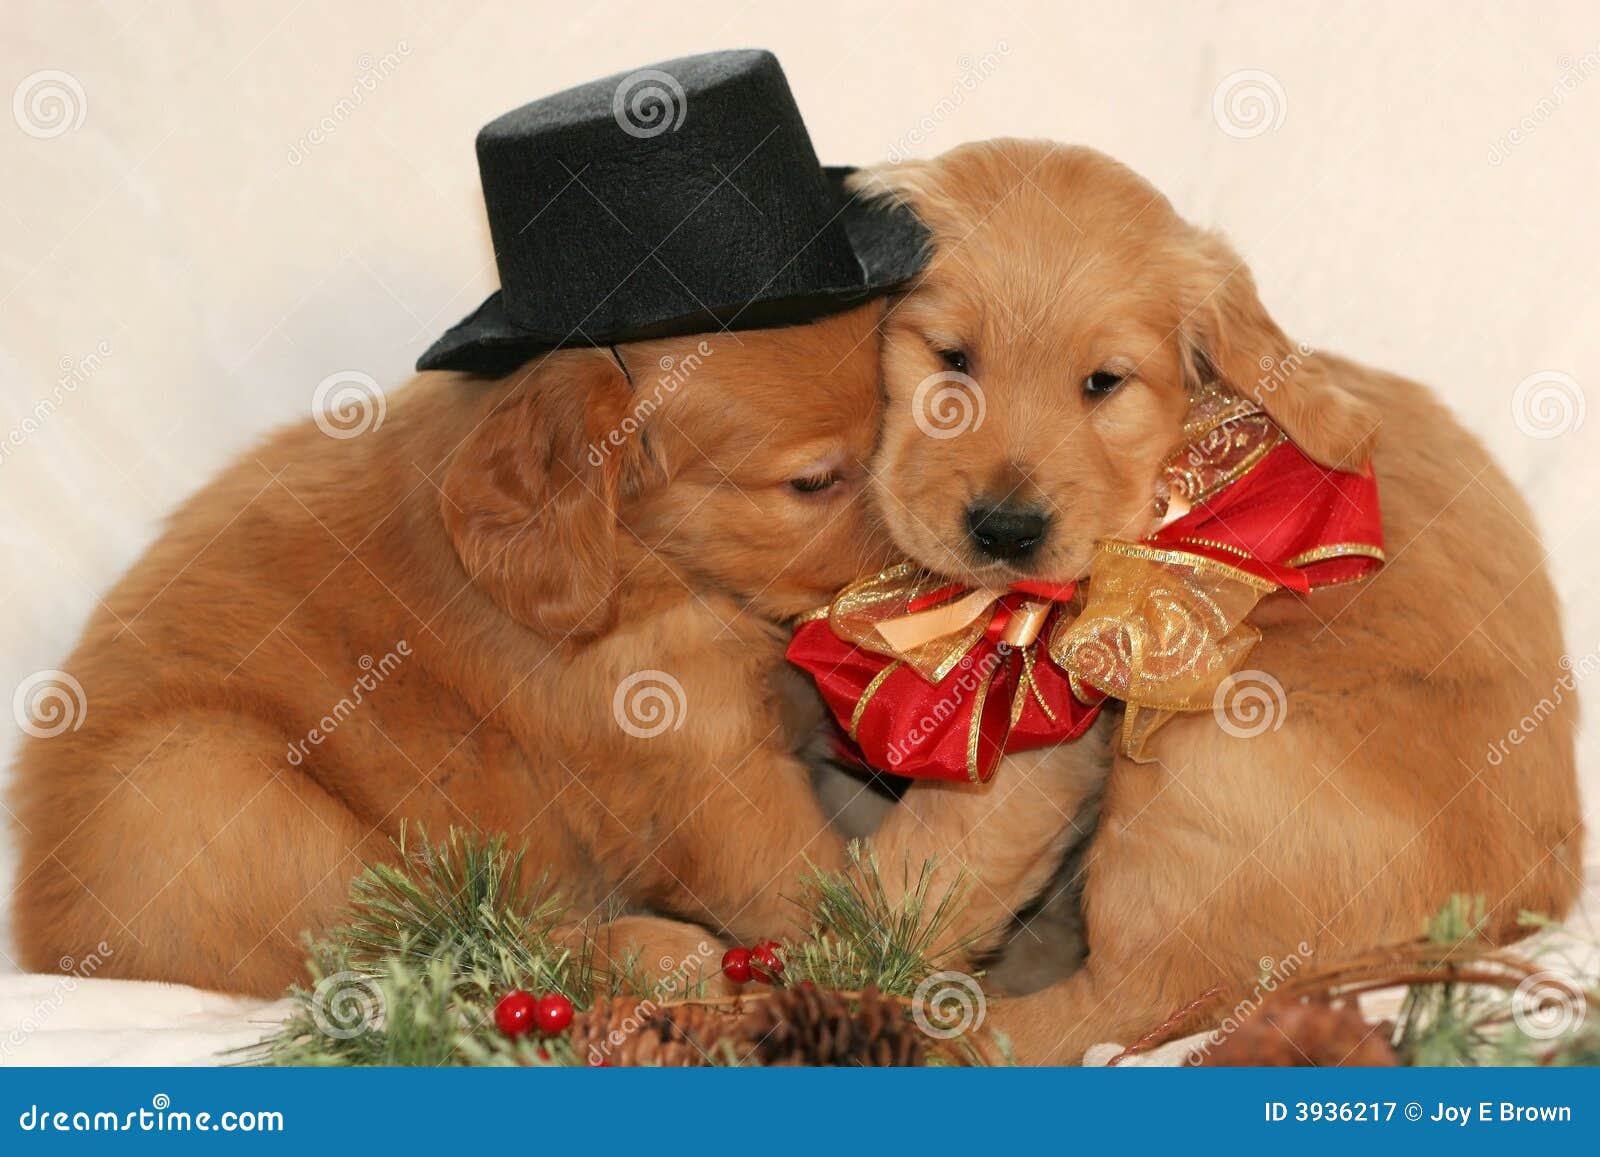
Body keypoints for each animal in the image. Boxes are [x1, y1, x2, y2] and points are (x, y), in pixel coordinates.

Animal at [857, 144, 1580, 1068]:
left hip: (1204, 770)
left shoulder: (1049, 724)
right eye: (951, 358)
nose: (1006, 530)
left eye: (1103, 383)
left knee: (1119, 1008)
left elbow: (929, 858)